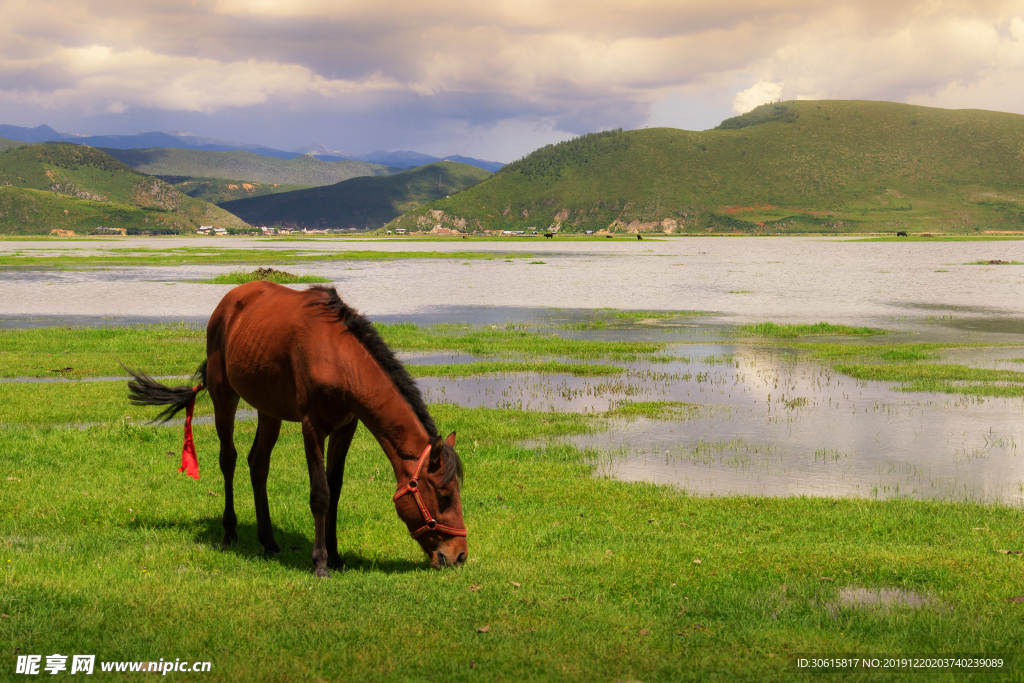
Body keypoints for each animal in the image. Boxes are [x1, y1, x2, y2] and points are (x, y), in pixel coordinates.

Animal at [124, 282, 471, 577]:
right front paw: (320, 563)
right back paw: (229, 532)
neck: (337, 356)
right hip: (225, 396)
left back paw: (268, 541)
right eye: (443, 495)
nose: (459, 555)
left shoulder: (346, 426)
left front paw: (336, 556)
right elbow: (321, 494)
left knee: (258, 464)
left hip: (269, 410)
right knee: (229, 460)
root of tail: (227, 303)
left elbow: (335, 490)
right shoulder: (312, 427)